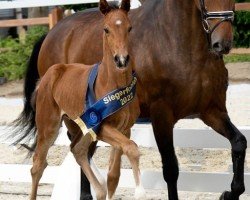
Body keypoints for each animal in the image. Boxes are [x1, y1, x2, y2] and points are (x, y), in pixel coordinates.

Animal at [29, 0, 145, 200]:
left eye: (129, 28)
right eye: (106, 29)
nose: (121, 60)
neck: (113, 83)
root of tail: (50, 73)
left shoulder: (124, 128)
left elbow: (114, 174)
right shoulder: (101, 126)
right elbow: (131, 148)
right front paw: (140, 191)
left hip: (78, 125)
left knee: (77, 150)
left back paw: (99, 190)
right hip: (48, 126)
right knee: (38, 165)